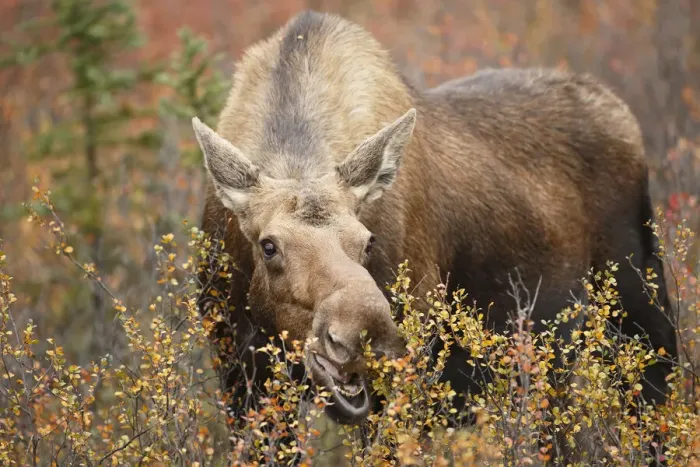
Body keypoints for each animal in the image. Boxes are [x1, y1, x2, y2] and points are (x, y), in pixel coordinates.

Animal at [192, 10, 678, 433]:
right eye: (269, 245)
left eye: (367, 241)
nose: (362, 334)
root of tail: (622, 112)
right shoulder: (241, 379)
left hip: (642, 308)